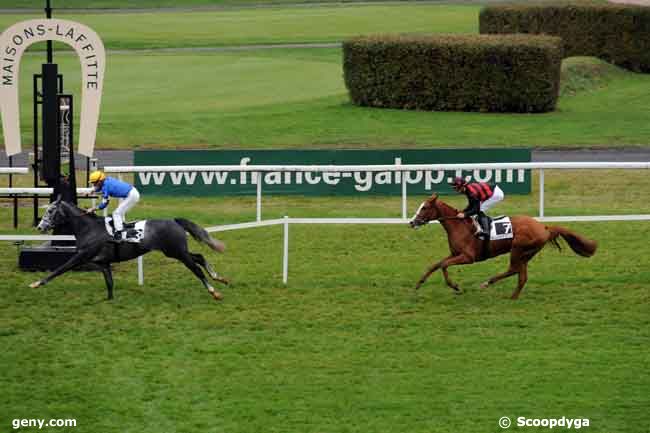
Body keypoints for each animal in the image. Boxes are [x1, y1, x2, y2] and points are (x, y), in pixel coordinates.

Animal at [30, 197, 228, 300]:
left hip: (177, 252)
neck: (89, 228)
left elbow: (60, 268)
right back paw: (219, 278)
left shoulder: (81, 256)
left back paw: (213, 291)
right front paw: (109, 300)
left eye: (50, 211)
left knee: (196, 268)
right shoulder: (103, 263)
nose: (40, 226)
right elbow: (109, 283)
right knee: (199, 257)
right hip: (174, 252)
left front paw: (37, 283)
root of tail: (174, 220)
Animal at [408, 194, 596, 298]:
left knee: (514, 270)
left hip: (518, 249)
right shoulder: (455, 254)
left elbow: (444, 266)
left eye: (424, 208)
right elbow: (436, 265)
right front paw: (418, 284)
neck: (459, 226)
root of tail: (544, 228)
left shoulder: (468, 257)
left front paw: (455, 286)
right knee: (521, 275)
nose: (412, 222)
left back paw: (488, 283)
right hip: (526, 253)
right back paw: (512, 296)